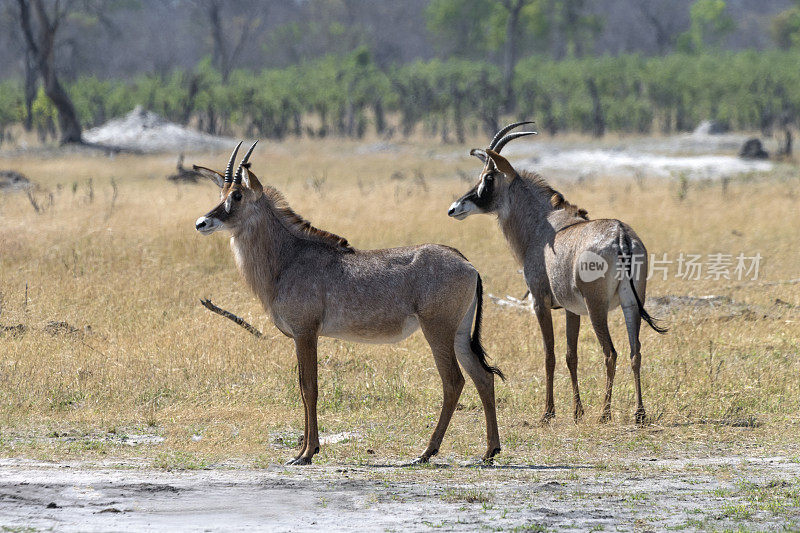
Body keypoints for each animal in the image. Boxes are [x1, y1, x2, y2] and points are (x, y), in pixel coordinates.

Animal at [194, 142, 504, 466]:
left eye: (237, 195)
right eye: (221, 193)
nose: (202, 222)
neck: (287, 258)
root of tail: (467, 264)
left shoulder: (306, 332)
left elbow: (309, 387)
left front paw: (307, 452)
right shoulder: (301, 335)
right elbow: (303, 388)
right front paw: (303, 450)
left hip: (438, 330)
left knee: (454, 381)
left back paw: (427, 451)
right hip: (459, 334)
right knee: (483, 377)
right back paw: (489, 451)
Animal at [446, 122, 664, 426]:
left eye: (487, 177)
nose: (454, 208)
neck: (543, 225)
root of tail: (621, 235)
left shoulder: (540, 302)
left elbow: (549, 355)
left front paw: (548, 413)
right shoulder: (572, 309)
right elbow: (571, 355)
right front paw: (577, 411)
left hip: (597, 308)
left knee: (610, 353)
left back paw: (605, 413)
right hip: (631, 304)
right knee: (636, 352)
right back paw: (639, 413)